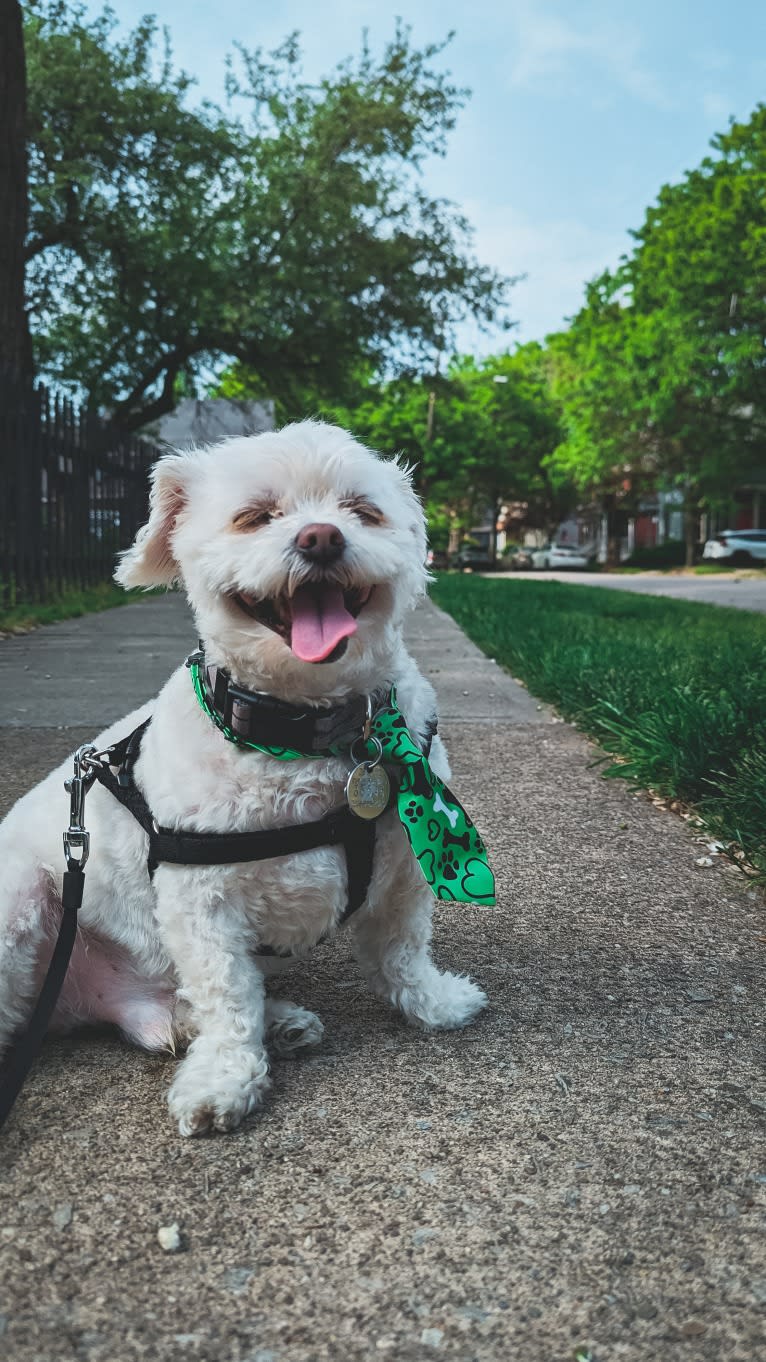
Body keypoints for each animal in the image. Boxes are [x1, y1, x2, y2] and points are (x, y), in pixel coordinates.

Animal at [0, 419, 485, 1133]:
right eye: (255, 517)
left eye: (361, 510)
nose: (321, 537)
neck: (312, 733)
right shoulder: (201, 907)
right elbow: (226, 994)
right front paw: (226, 1079)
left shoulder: (404, 867)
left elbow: (401, 948)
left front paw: (429, 1000)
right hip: (20, 899)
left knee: (165, 1011)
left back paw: (272, 1023)